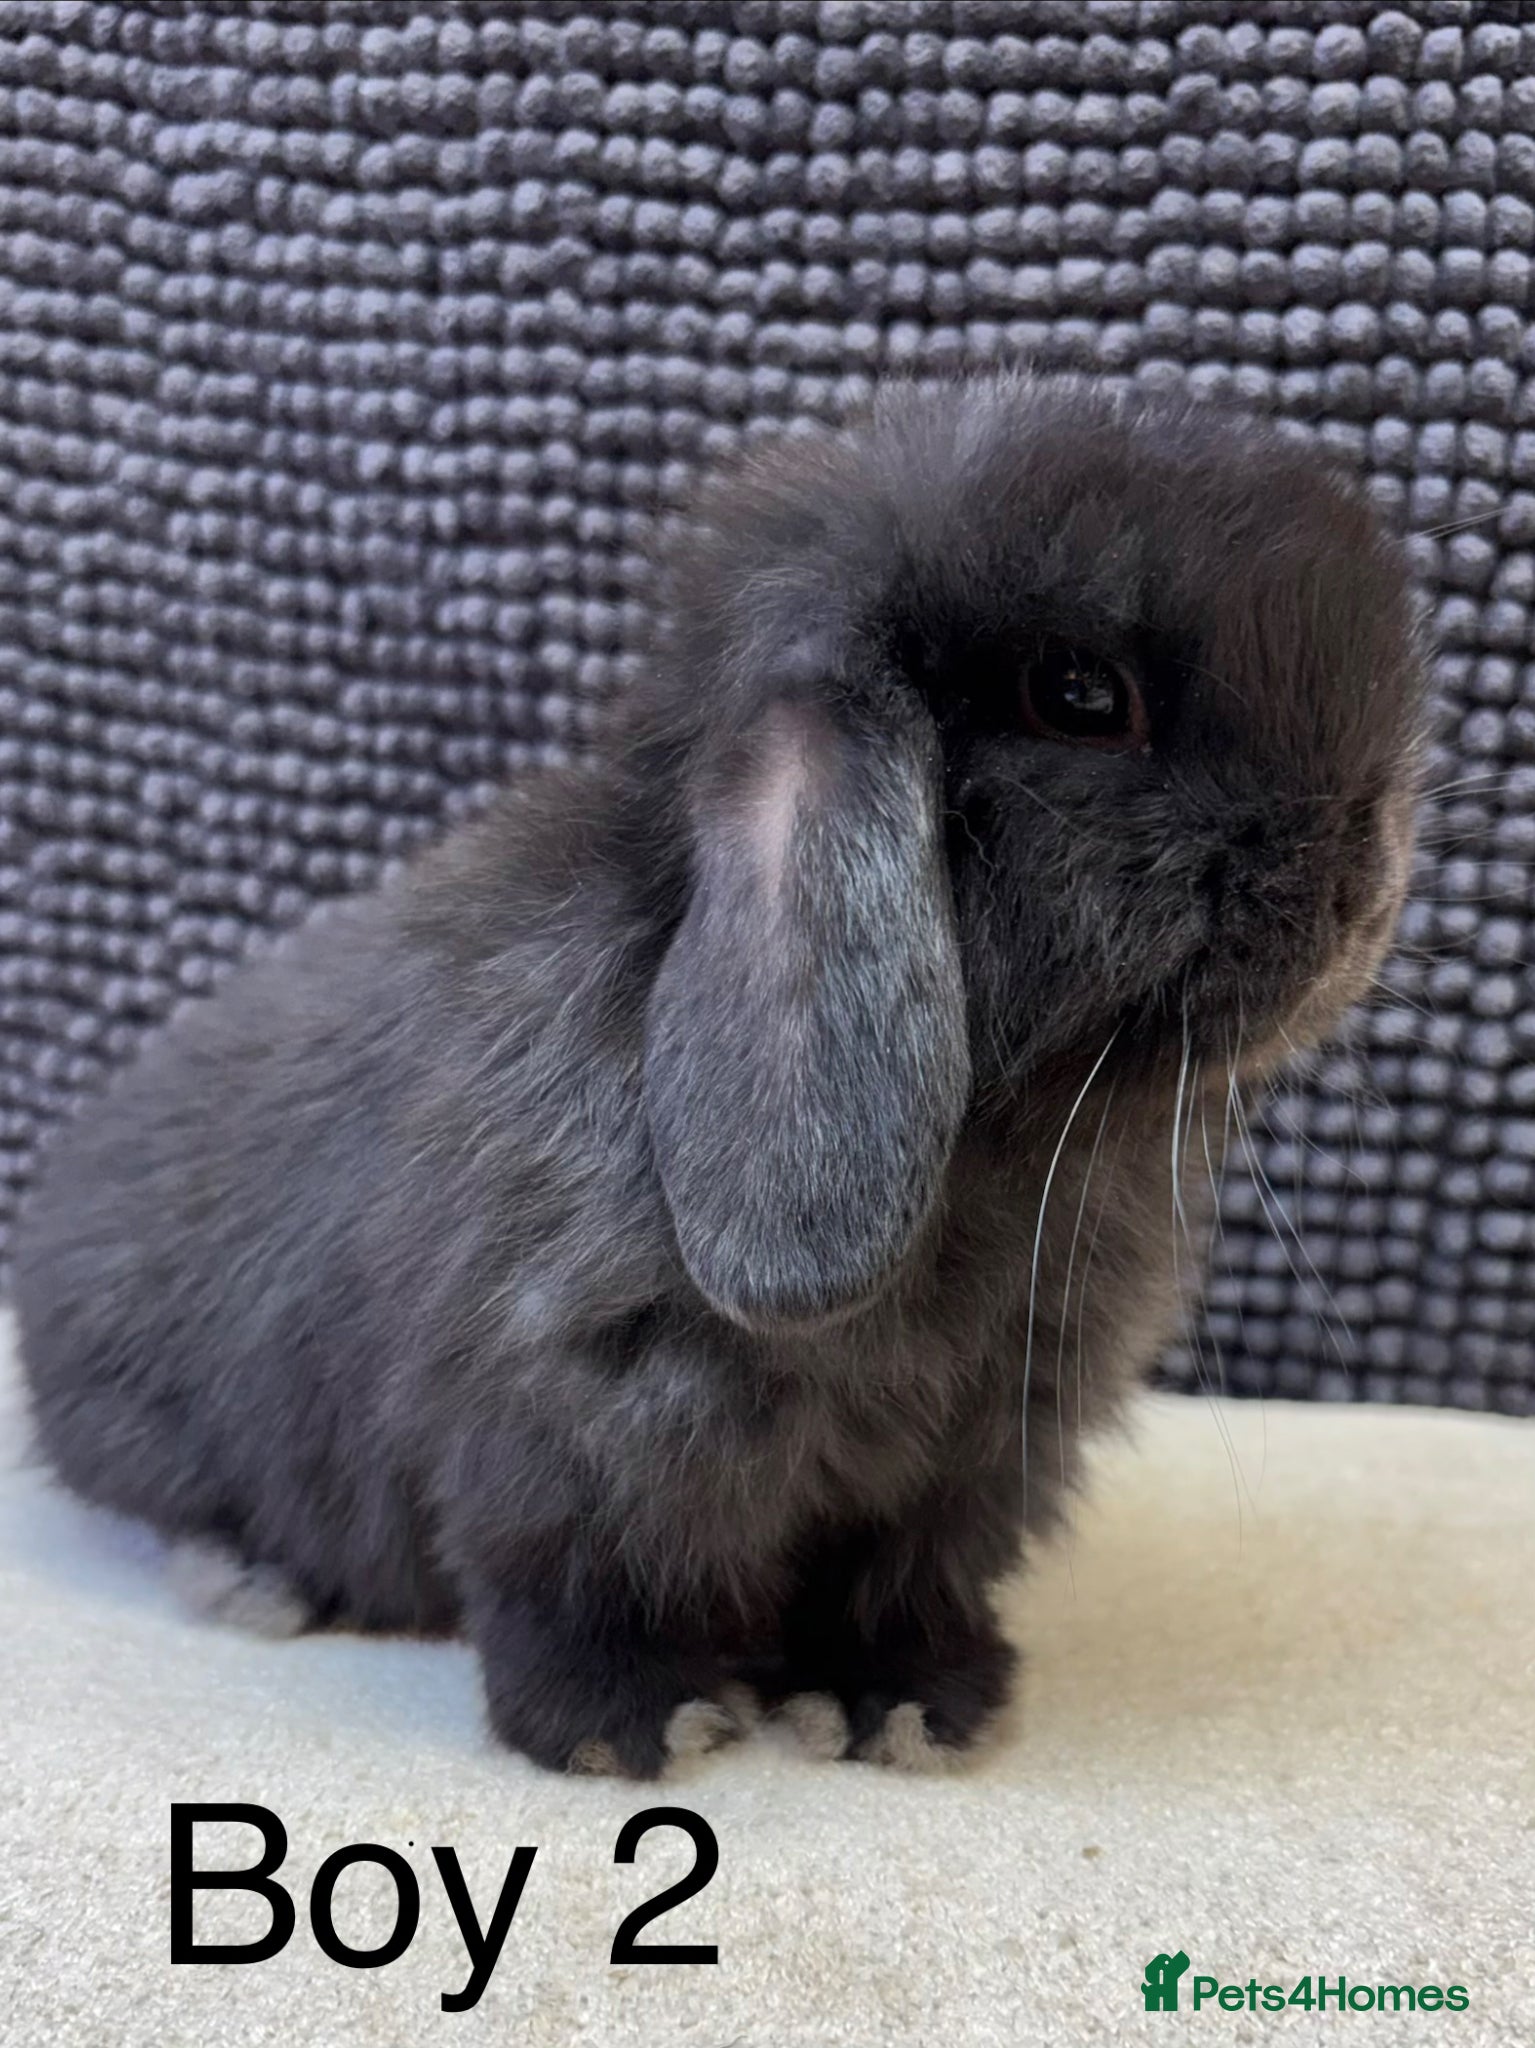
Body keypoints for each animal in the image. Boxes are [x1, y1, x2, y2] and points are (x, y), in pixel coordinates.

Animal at [11, 372, 1425, 1778]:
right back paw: (257, 1580)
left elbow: (901, 1585)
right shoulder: (561, 1419)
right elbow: (563, 1580)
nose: (1367, 880)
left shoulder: (969, 1459)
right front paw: (631, 1724)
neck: (996, 1156)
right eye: (1077, 694)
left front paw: (908, 1705)